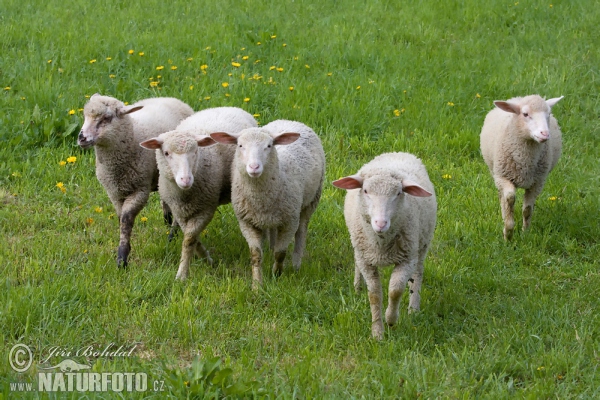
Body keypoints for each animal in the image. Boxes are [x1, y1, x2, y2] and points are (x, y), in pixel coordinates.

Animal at [77, 94, 193, 266]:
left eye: (106, 118)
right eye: (85, 117)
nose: (81, 138)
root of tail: (171, 98)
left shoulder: (140, 190)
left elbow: (126, 219)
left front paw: (122, 258)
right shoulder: (114, 193)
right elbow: (121, 219)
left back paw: (172, 235)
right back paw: (167, 223)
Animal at [139, 108, 258, 280]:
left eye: (195, 151)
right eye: (166, 153)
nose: (186, 179)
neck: (185, 195)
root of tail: (227, 106)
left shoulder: (206, 209)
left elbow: (189, 240)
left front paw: (183, 274)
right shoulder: (179, 211)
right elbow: (192, 238)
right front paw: (205, 258)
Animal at [209, 120, 326, 290]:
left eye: (269, 146)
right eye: (240, 145)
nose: (254, 167)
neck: (260, 199)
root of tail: (289, 120)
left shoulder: (290, 221)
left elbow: (280, 253)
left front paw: (276, 274)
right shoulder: (247, 222)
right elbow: (256, 255)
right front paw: (257, 285)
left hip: (310, 201)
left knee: (301, 231)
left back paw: (296, 265)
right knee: (272, 231)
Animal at [332, 152, 436, 340]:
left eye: (399, 193)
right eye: (366, 191)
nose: (380, 223)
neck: (380, 245)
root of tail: (397, 152)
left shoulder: (407, 259)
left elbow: (395, 290)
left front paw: (390, 319)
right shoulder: (366, 259)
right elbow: (374, 295)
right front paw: (377, 333)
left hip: (421, 246)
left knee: (417, 275)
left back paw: (413, 309)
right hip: (358, 246)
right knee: (356, 263)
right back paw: (357, 288)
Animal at [478, 95, 564, 239]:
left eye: (548, 114)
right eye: (525, 114)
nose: (545, 134)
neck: (525, 161)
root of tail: (516, 98)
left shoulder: (537, 182)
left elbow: (527, 210)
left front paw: (525, 233)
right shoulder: (503, 177)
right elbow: (509, 198)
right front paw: (508, 232)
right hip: (495, 173)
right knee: (502, 197)